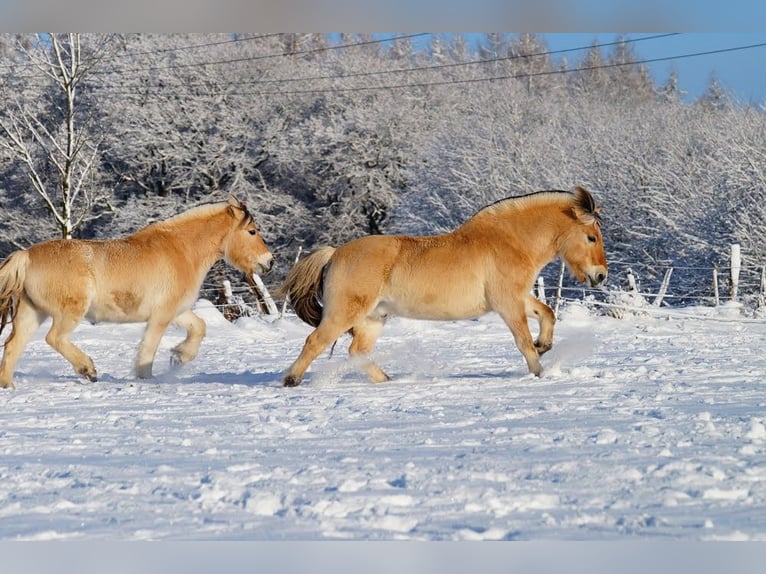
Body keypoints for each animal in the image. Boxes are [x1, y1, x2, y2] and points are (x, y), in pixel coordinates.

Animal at [0, 196, 273, 389]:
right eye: (252, 231)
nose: (269, 262)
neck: (183, 251)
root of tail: (26, 256)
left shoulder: (177, 311)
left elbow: (199, 327)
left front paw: (179, 357)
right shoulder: (161, 317)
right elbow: (147, 350)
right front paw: (146, 377)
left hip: (32, 313)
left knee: (13, 345)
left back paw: (8, 385)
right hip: (68, 313)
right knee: (54, 338)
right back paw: (88, 369)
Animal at [277, 186, 607, 387]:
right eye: (591, 237)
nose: (600, 275)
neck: (509, 241)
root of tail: (335, 253)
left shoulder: (514, 297)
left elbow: (546, 314)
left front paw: (544, 345)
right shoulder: (507, 303)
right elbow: (523, 341)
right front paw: (539, 372)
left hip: (373, 318)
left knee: (357, 351)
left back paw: (387, 380)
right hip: (344, 314)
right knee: (315, 342)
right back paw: (290, 381)